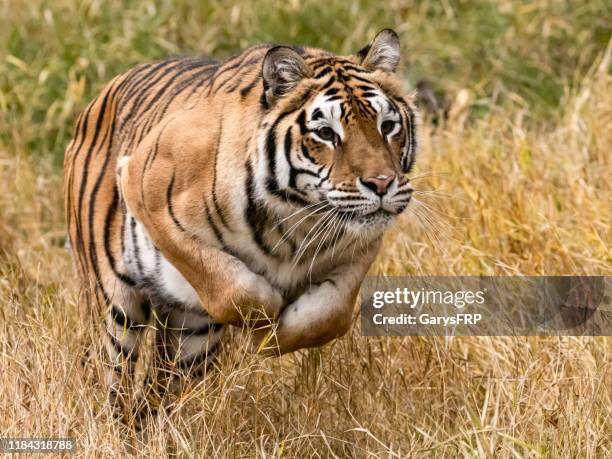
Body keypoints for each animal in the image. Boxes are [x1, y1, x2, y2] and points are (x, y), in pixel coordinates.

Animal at [63, 28, 416, 402]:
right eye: (326, 133)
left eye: (387, 126)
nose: (382, 183)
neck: (298, 217)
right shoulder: (144, 188)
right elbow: (233, 287)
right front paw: (264, 328)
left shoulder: (361, 245)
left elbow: (330, 314)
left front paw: (276, 337)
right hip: (113, 307)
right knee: (110, 374)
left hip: (190, 336)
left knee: (165, 388)